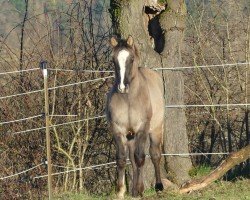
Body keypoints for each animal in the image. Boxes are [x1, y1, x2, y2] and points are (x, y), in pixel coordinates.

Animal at [106, 35, 165, 198]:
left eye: (131, 59)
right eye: (113, 60)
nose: (122, 87)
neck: (129, 100)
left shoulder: (142, 129)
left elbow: (140, 158)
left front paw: (138, 191)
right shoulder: (118, 130)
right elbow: (121, 159)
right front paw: (120, 191)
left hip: (155, 130)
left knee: (154, 154)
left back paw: (158, 186)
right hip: (131, 136)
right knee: (132, 158)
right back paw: (134, 189)